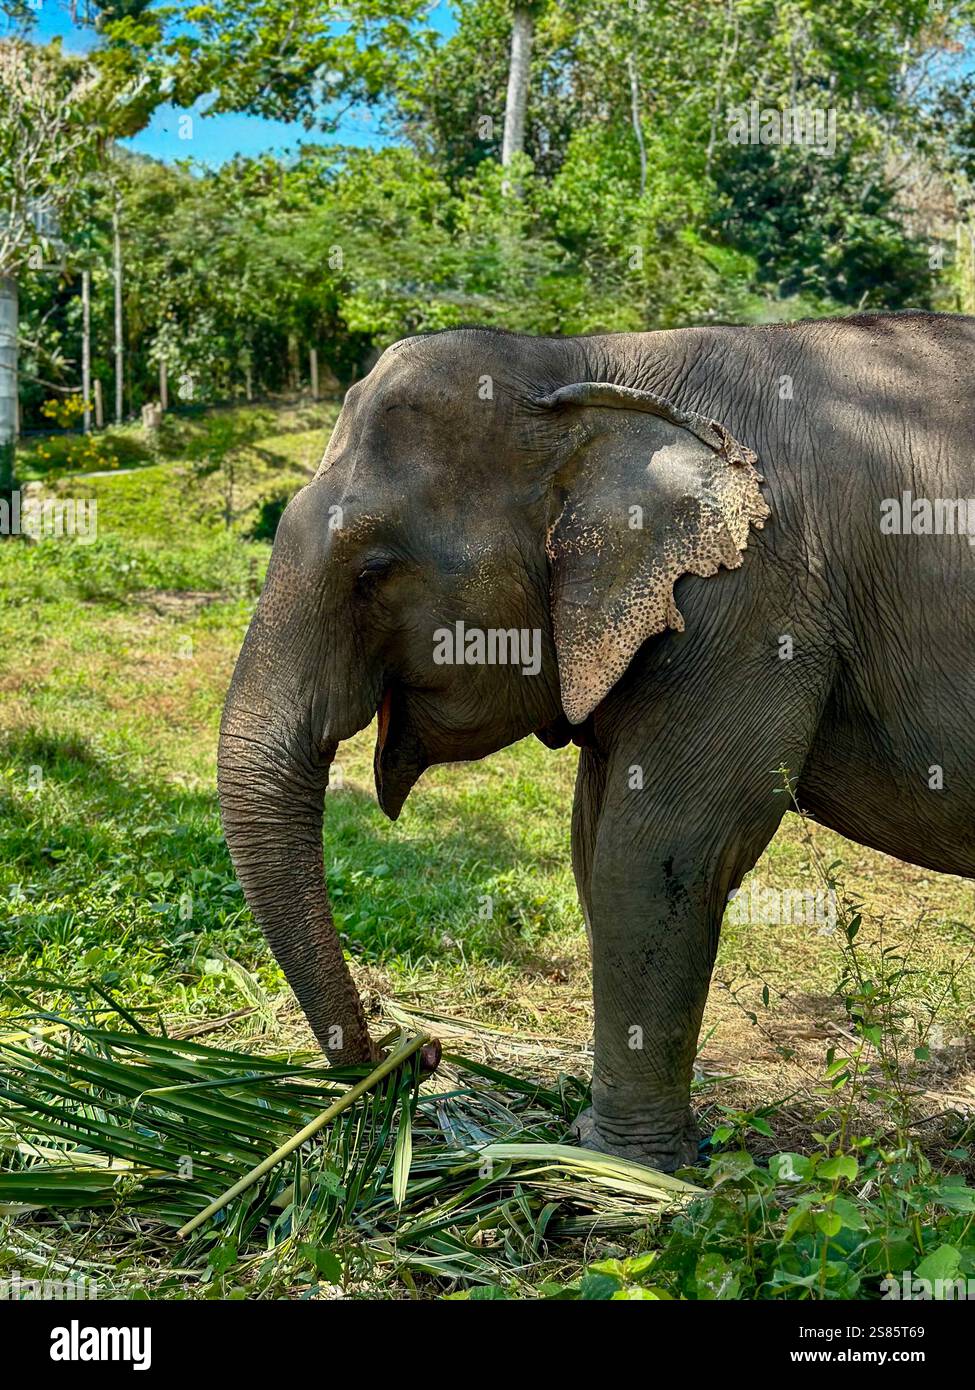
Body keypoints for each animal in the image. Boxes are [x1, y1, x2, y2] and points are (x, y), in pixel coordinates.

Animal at [217, 310, 975, 1172]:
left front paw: (625, 1168)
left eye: (373, 572)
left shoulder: (749, 605)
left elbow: (651, 859)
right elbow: (591, 846)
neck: (589, 365)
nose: (416, 1054)